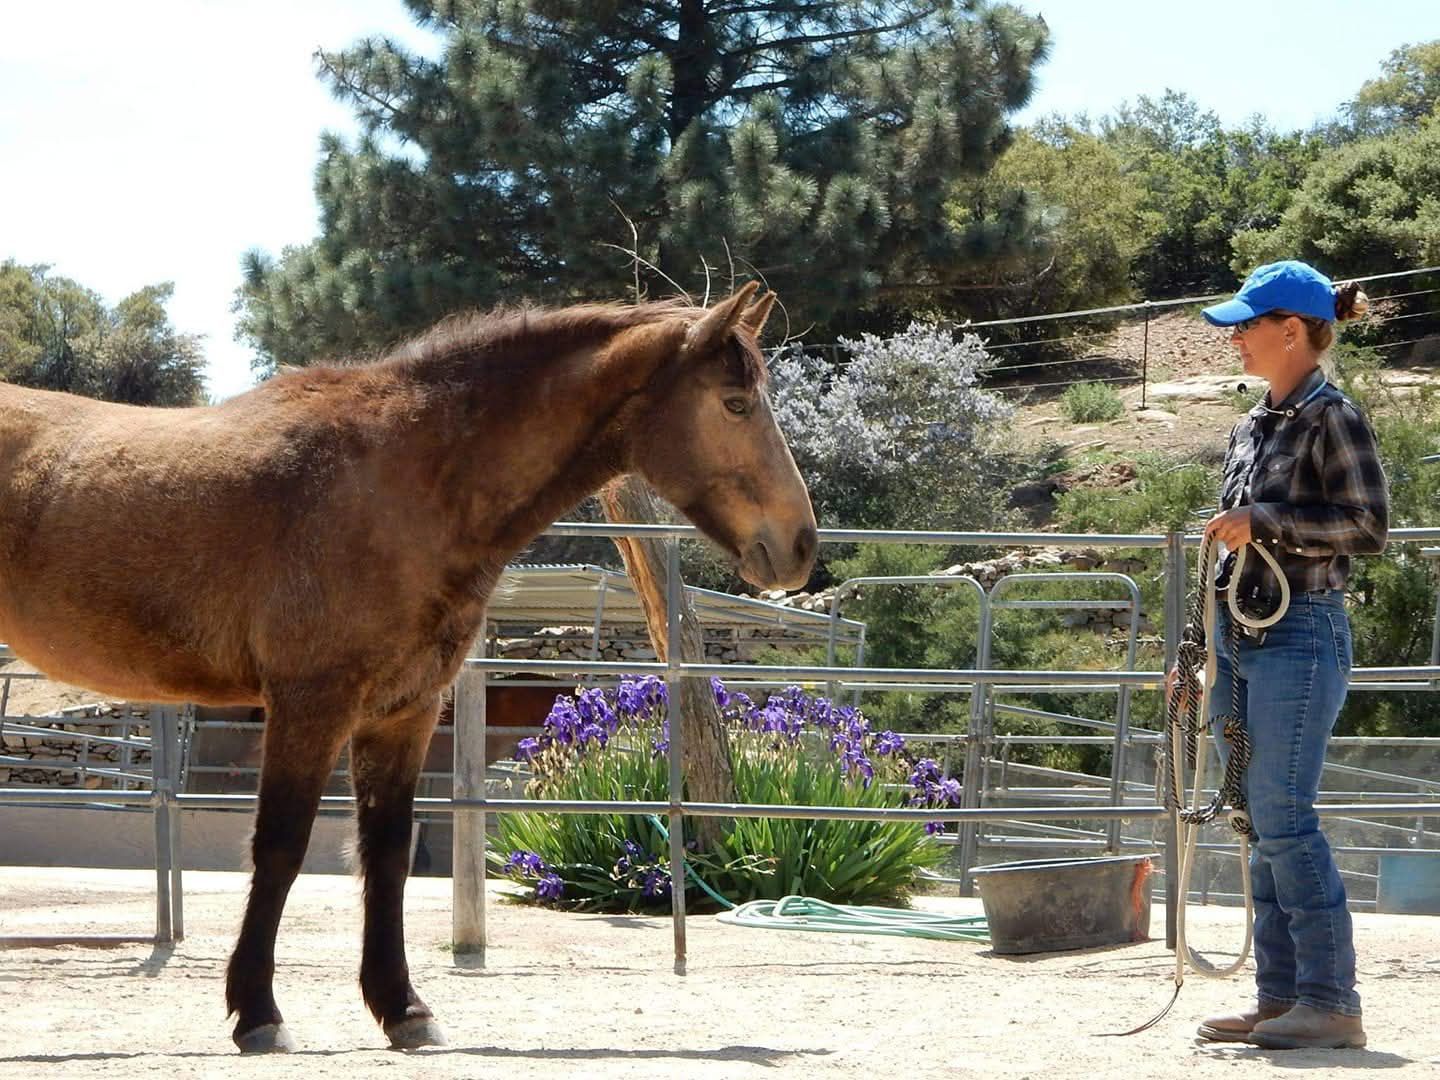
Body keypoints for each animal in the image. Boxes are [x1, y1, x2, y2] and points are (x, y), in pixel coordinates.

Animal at [0, 282, 817, 1052]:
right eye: (736, 403)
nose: (800, 546)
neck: (403, 478)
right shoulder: (312, 703)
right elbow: (280, 848)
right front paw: (258, 1014)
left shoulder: (406, 710)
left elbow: (385, 853)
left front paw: (403, 1009)